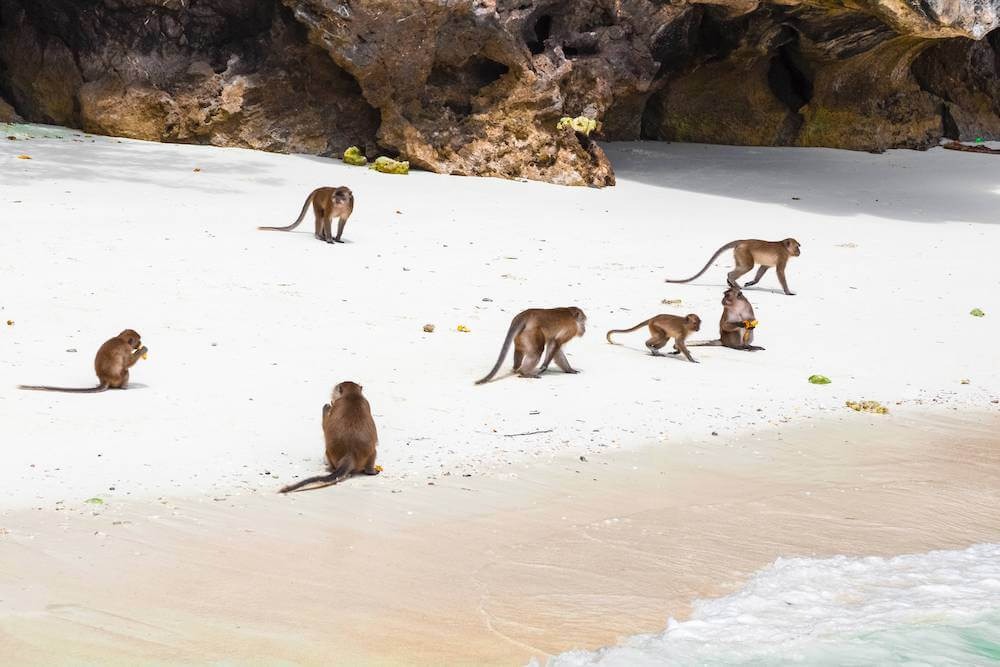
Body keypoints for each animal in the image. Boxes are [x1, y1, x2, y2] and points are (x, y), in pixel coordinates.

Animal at [18, 329, 147, 393]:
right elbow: (128, 364)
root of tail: (105, 379)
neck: (121, 339)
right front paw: (142, 350)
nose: (140, 343)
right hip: (117, 379)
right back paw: (124, 387)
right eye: (138, 341)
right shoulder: (126, 349)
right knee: (125, 371)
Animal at [665, 238, 801, 295]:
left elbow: (763, 268)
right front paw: (788, 292)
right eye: (797, 246)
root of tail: (742, 241)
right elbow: (780, 271)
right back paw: (731, 279)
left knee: (743, 266)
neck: (784, 247)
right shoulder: (783, 256)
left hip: (739, 253)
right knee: (748, 266)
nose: (799, 252)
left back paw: (731, 282)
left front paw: (752, 282)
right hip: (743, 252)